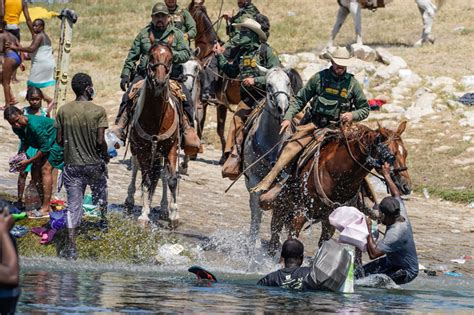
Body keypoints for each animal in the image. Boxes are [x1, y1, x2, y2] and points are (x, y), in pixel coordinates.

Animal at [127, 43, 181, 228]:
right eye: (151, 56)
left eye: (171, 59)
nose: (160, 81)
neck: (157, 118)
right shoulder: (143, 151)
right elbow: (147, 181)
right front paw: (144, 214)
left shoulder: (171, 148)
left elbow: (171, 180)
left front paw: (174, 215)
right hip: (137, 150)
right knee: (137, 169)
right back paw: (130, 200)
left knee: (162, 175)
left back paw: (164, 208)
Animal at [244, 67, 304, 249]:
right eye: (268, 84)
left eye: (288, 83)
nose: (282, 107)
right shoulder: (254, 179)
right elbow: (257, 210)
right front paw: (253, 241)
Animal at [266, 122, 412, 256]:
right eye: (391, 155)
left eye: (405, 153)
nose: (407, 186)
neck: (336, 174)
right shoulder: (301, 214)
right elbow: (292, 240)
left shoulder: (328, 220)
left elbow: (322, 245)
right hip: (281, 206)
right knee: (274, 235)